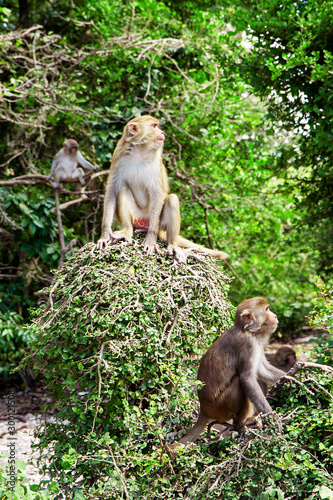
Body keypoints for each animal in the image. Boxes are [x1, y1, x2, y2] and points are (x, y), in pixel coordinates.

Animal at [94, 114, 227, 262]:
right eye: (154, 126)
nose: (162, 132)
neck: (140, 152)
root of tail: (144, 222)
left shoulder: (156, 160)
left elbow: (157, 194)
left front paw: (151, 240)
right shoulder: (118, 155)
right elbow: (112, 191)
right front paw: (105, 235)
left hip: (158, 223)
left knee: (172, 200)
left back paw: (172, 244)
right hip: (137, 217)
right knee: (122, 189)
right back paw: (127, 231)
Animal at [170, 296, 284, 446]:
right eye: (266, 309)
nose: (275, 316)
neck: (249, 331)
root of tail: (203, 409)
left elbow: (262, 370)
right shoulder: (247, 344)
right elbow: (247, 379)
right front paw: (273, 418)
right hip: (219, 408)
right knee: (238, 382)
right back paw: (241, 424)